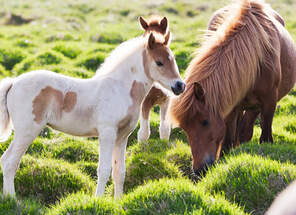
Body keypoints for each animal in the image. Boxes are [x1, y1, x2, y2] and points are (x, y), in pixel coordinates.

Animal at [0, 24, 185, 198]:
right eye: (159, 62)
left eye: (173, 59)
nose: (180, 86)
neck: (120, 88)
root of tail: (13, 82)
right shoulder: (107, 133)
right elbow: (103, 170)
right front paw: (98, 200)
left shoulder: (122, 137)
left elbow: (119, 172)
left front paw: (118, 202)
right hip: (27, 131)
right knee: (10, 162)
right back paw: (13, 200)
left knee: (5, 159)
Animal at [170, 0, 296, 174]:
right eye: (185, 128)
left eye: (205, 122)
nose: (199, 170)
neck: (256, 60)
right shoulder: (231, 106)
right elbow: (228, 140)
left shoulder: (269, 102)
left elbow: (265, 135)